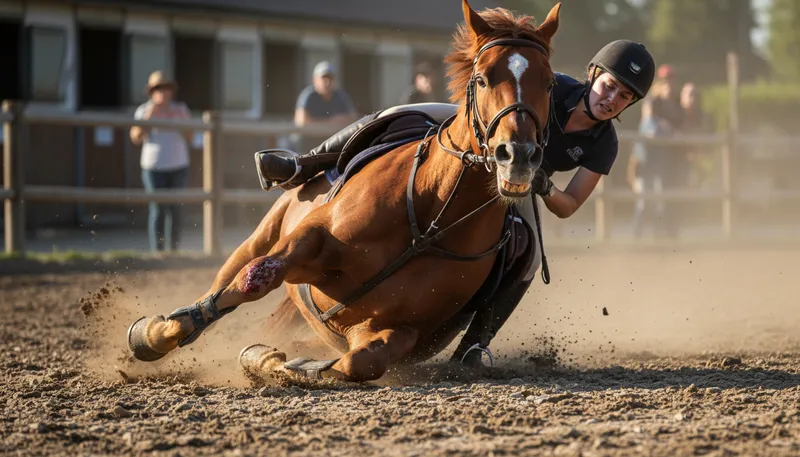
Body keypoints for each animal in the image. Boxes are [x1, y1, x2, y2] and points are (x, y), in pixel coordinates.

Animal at [126, 0, 561, 383]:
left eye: (549, 83)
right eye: (483, 78)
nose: (517, 155)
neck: (431, 218)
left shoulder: (398, 328)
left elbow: (360, 362)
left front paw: (273, 362)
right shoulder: (309, 239)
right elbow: (256, 278)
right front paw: (155, 335)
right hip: (268, 229)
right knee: (233, 273)